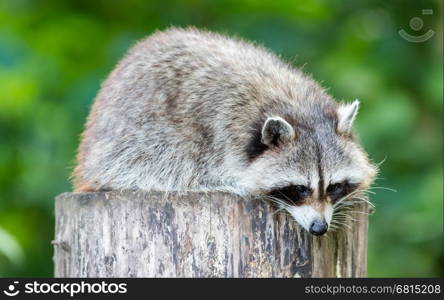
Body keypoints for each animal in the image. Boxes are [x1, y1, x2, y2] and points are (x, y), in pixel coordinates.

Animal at [72, 27, 374, 234]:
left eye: (334, 187)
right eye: (299, 189)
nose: (319, 228)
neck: (297, 107)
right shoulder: (217, 137)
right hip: (132, 138)